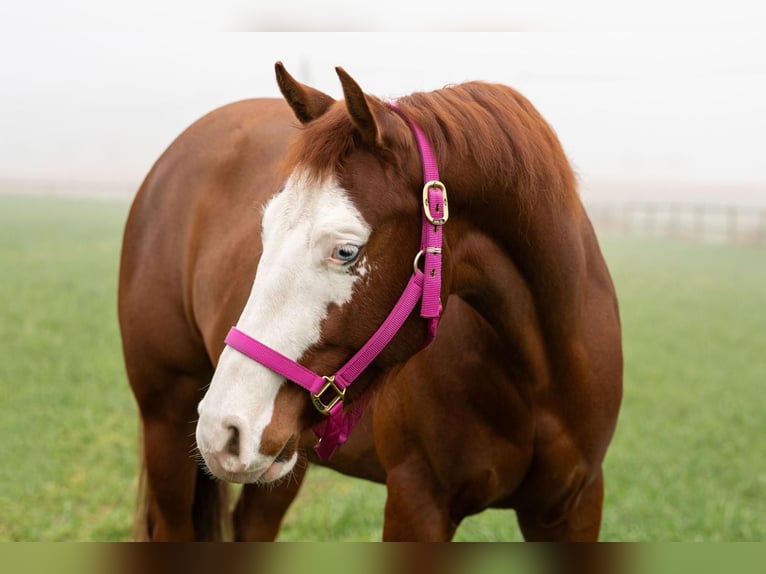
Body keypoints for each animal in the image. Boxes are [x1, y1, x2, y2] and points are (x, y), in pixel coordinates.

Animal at [118, 62, 623, 541]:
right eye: (263, 230)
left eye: (346, 251)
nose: (224, 429)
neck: (538, 372)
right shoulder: (417, 502)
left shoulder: (573, 507)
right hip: (168, 418)